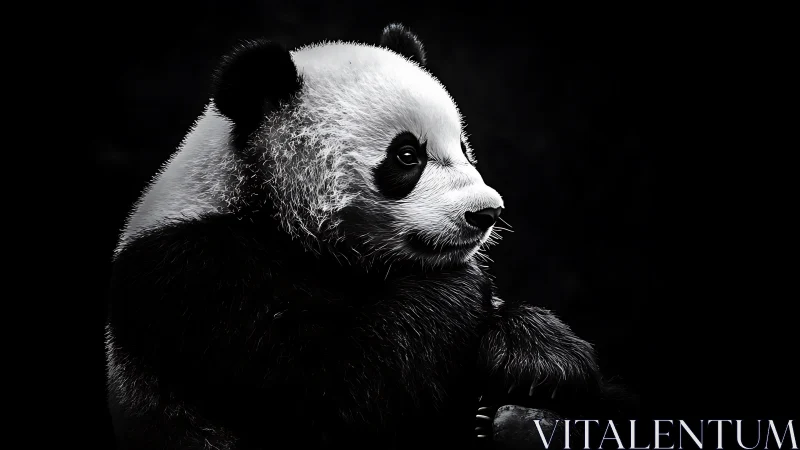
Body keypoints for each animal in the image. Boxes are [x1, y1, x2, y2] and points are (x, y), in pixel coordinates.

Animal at [106, 23, 634, 450]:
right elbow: (339, 396)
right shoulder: (193, 277)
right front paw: (464, 292)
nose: (486, 213)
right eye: (407, 155)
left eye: (464, 147)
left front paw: (537, 357)